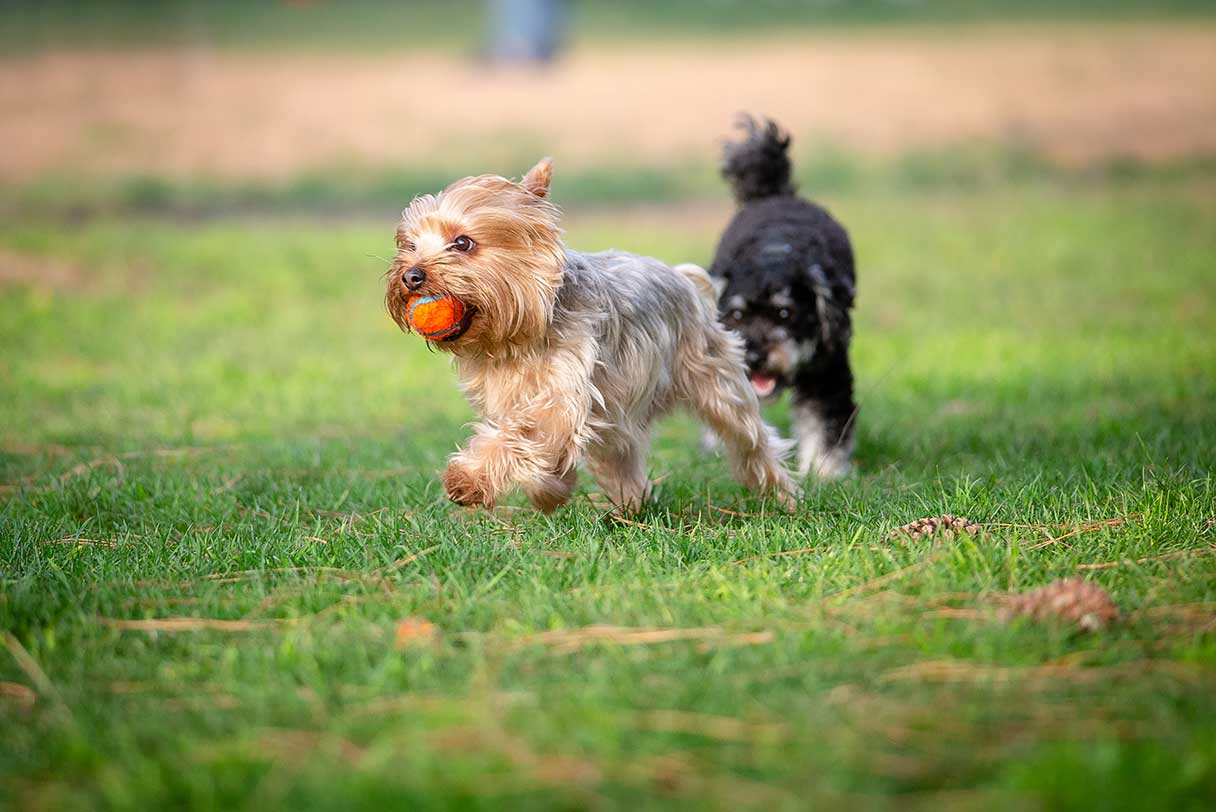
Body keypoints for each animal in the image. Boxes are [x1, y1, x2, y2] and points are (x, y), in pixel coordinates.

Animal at [384, 158, 792, 512]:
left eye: (463, 242)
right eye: (409, 245)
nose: (411, 276)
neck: (514, 338)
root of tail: (684, 278)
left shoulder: (561, 395)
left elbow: (521, 435)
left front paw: (468, 480)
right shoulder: (509, 397)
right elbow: (529, 443)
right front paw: (550, 491)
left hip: (715, 378)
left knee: (749, 438)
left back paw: (782, 497)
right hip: (621, 411)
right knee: (622, 455)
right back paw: (630, 505)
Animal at [710, 117, 860, 478]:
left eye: (785, 314)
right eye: (736, 315)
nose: (755, 357)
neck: (773, 252)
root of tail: (775, 194)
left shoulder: (827, 373)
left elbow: (825, 422)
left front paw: (823, 473)